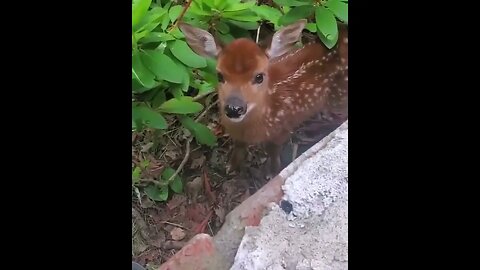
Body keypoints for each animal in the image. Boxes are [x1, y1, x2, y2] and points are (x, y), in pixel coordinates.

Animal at [180, 20, 348, 178]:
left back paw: (307, 132)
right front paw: (231, 166)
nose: (234, 109)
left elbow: (273, 150)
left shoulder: (283, 128)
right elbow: (239, 146)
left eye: (259, 76)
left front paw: (272, 172)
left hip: (338, 98)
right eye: (220, 75)